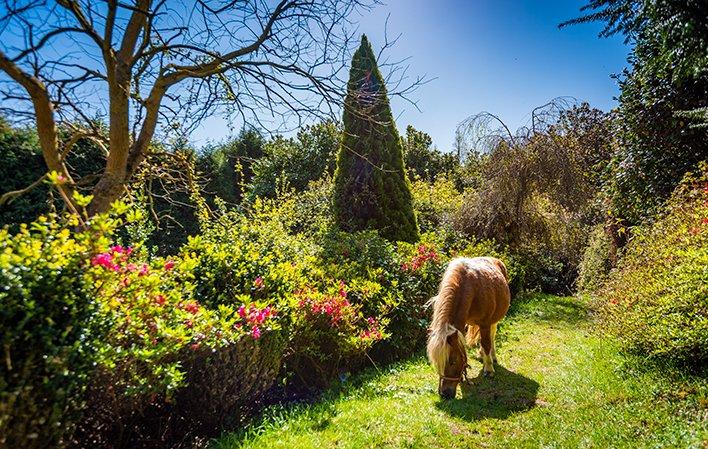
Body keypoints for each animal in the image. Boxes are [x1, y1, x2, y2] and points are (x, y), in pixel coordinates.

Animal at [426, 258, 508, 398]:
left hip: (493, 321)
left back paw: (492, 357)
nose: (445, 393)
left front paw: (489, 369)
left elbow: (486, 343)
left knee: (492, 335)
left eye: (453, 361)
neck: (471, 289)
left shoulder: (485, 323)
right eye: (436, 363)